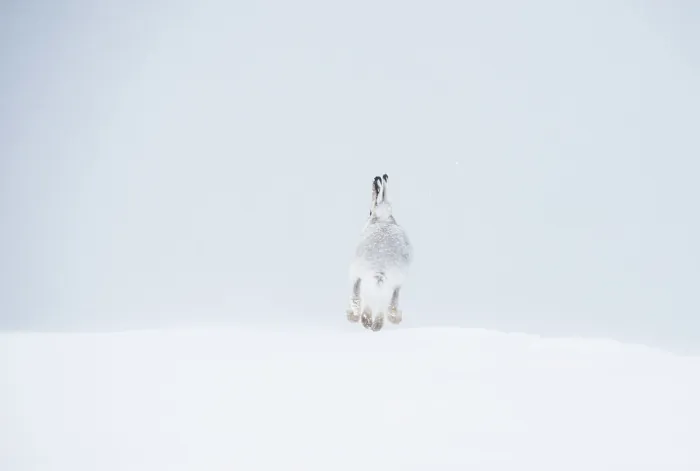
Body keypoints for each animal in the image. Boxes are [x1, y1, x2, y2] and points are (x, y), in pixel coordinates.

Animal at [346, 174, 413, 331]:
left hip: (360, 274)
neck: (385, 219)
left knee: (360, 299)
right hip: (395, 283)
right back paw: (378, 324)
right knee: (387, 304)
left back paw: (363, 320)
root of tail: (380, 267)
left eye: (370, 212)